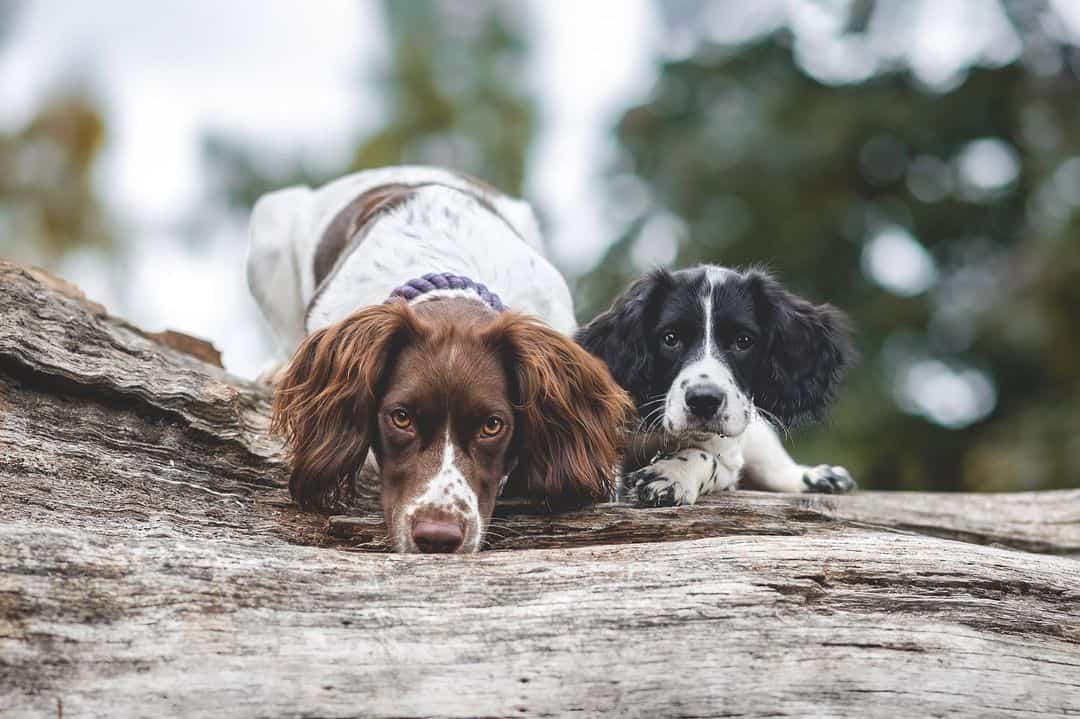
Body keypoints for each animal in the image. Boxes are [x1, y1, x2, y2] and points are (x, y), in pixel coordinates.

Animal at [578, 264, 855, 503]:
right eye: (670, 338)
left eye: (743, 340)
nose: (704, 401)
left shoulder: (728, 457)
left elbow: (707, 459)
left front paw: (673, 474)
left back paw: (820, 476)